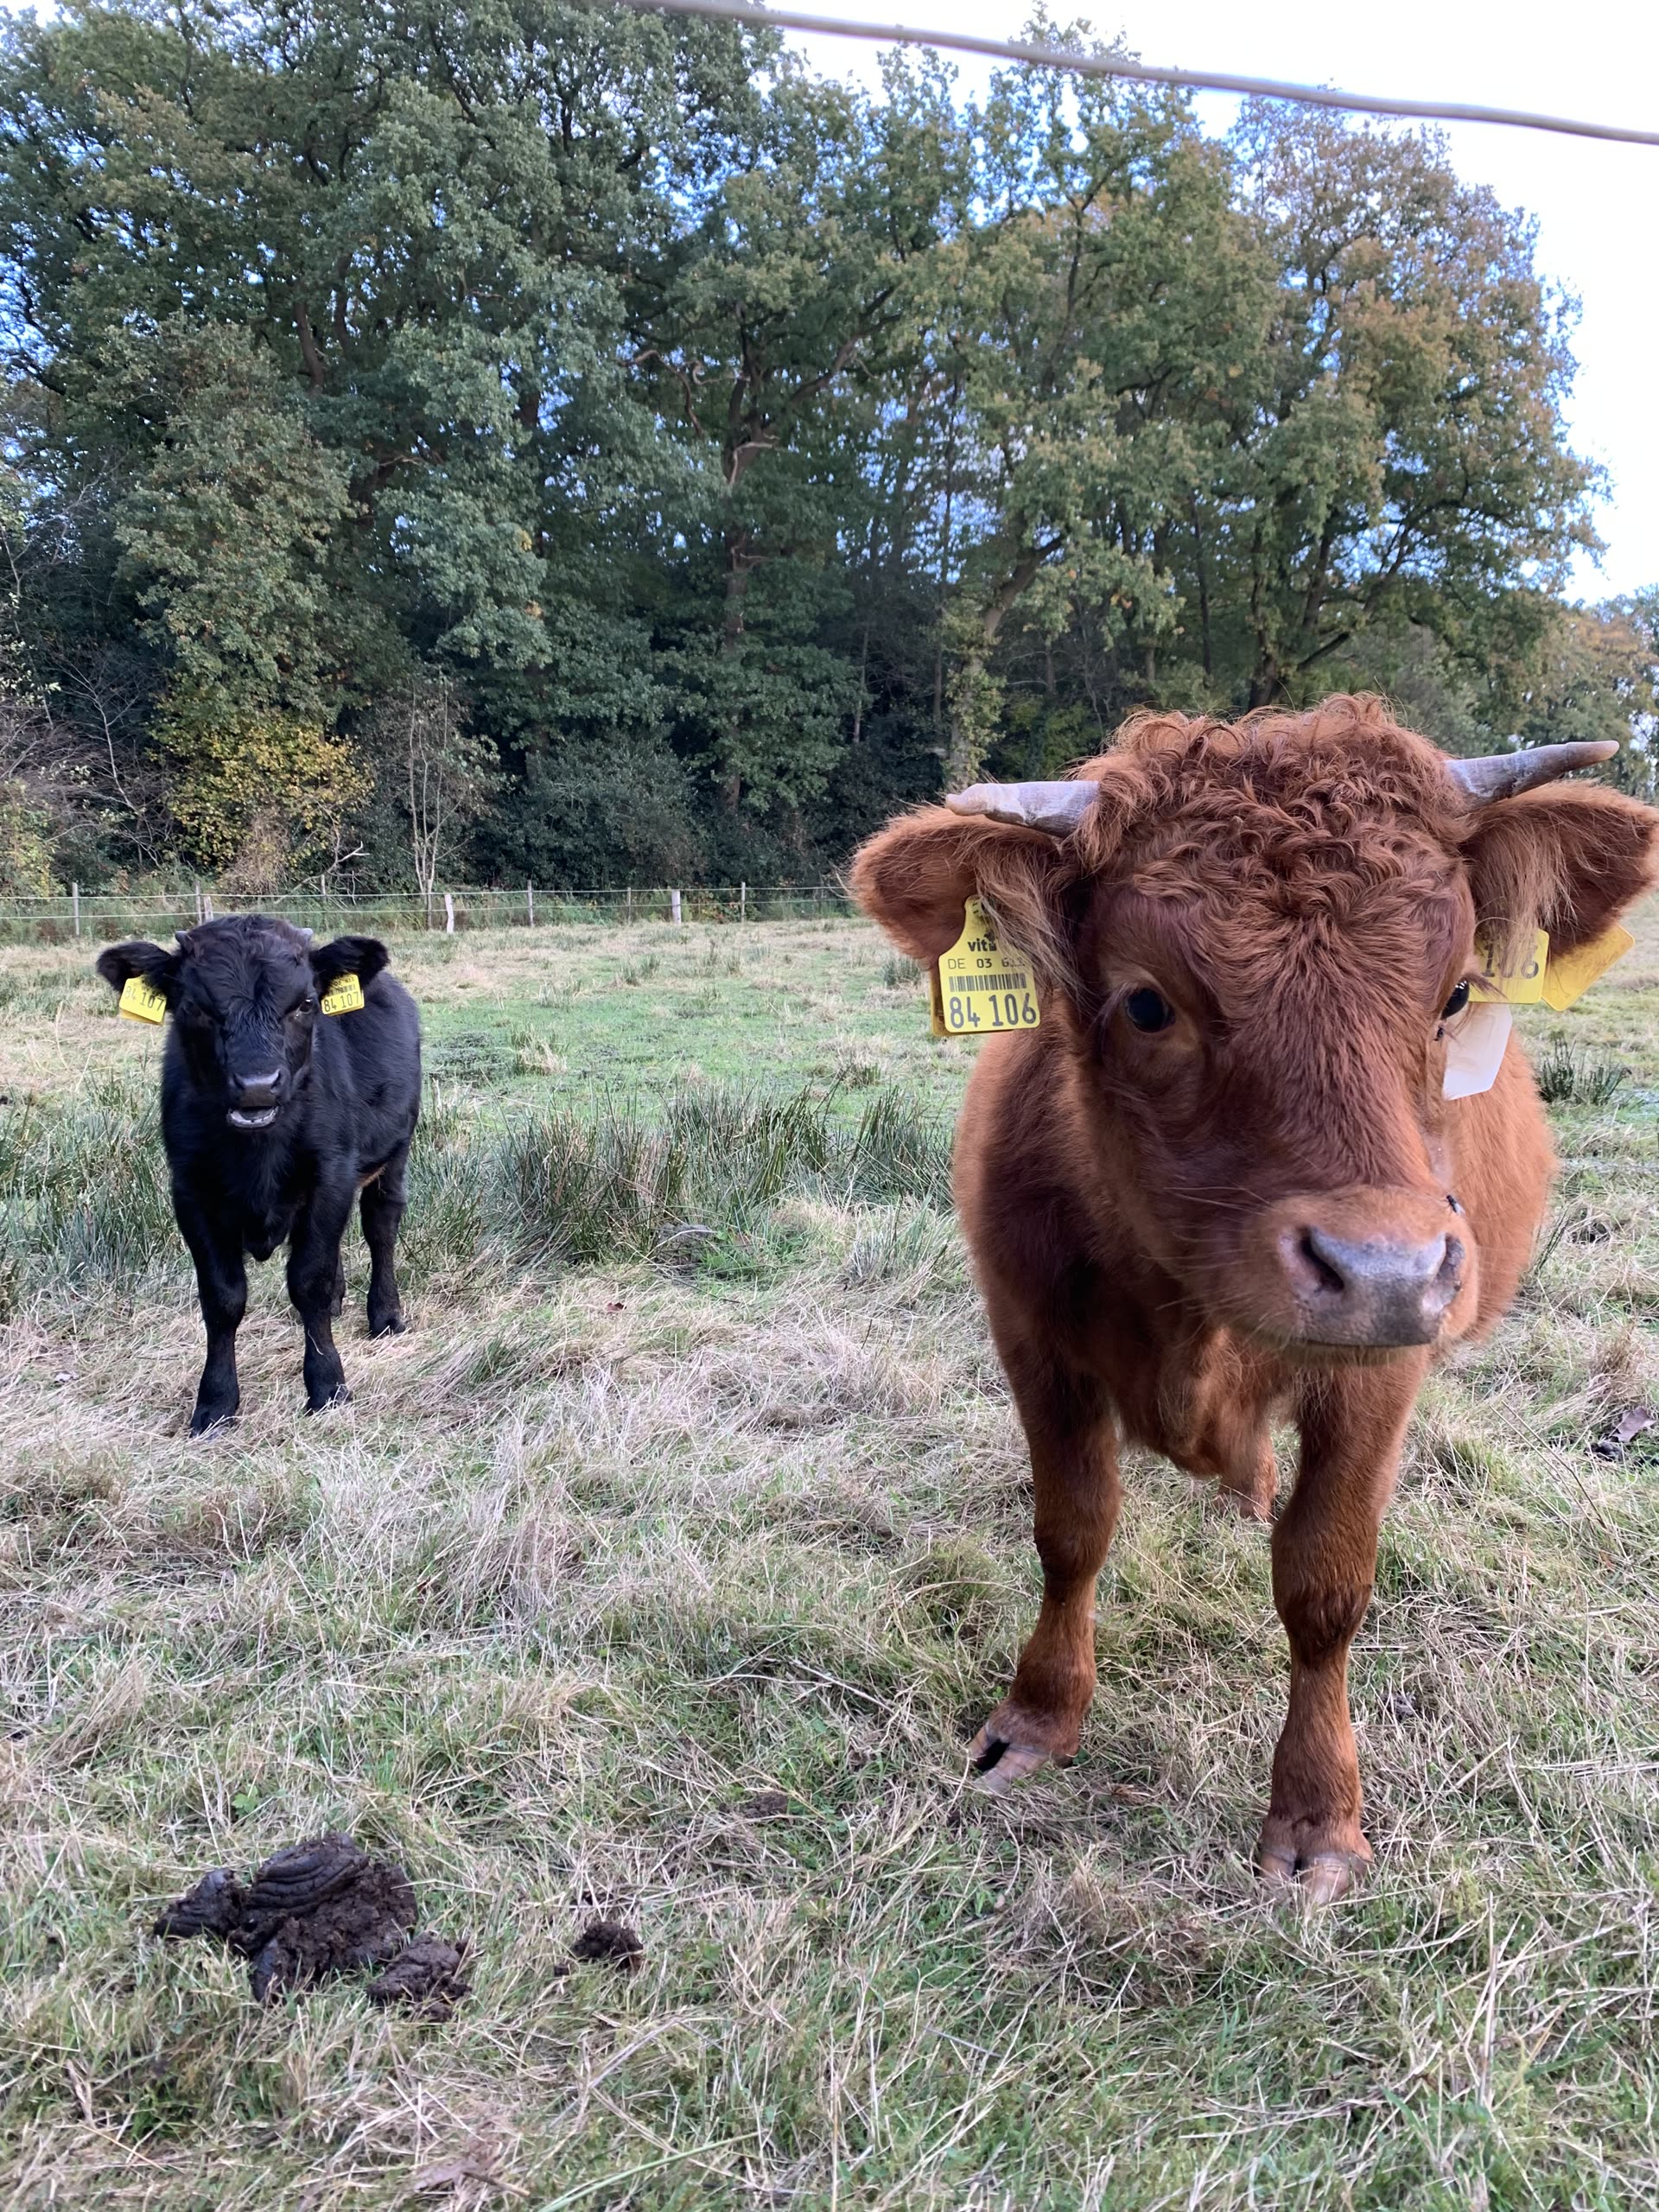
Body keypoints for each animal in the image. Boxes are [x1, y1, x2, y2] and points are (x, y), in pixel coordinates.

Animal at [96, 916, 421, 1434]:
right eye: (195, 1007)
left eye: (305, 1003)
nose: (257, 1086)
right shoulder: (189, 1190)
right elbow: (223, 1297)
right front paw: (215, 1403)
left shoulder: (331, 1174)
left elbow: (309, 1280)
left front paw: (327, 1385)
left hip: (395, 1153)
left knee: (380, 1227)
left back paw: (385, 1315)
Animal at [851, 697, 1659, 1900]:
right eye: (1147, 1001)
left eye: (1456, 993)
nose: (1383, 1269)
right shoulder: (1032, 1339)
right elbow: (1071, 1529)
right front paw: (1038, 1720)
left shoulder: (1378, 1376)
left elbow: (1324, 1584)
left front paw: (1318, 1817)